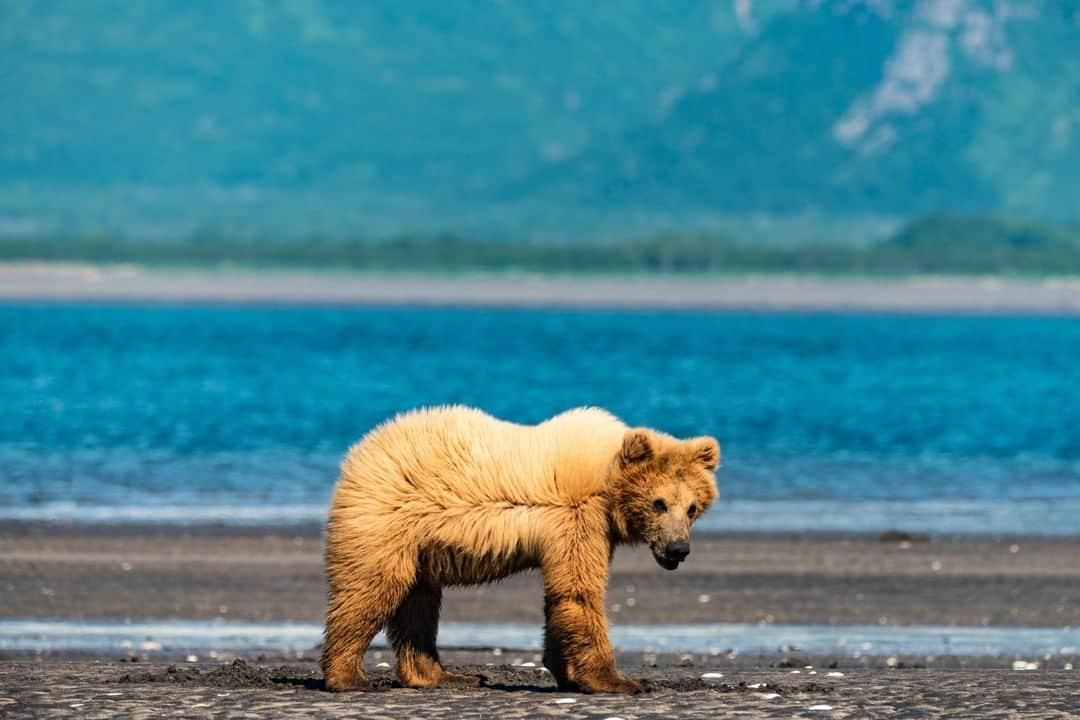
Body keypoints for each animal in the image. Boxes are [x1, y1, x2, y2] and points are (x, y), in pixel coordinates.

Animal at [321, 405, 725, 690]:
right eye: (659, 503)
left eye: (692, 508)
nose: (678, 549)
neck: (606, 484)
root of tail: (361, 450)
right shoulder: (578, 517)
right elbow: (579, 591)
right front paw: (619, 681)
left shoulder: (588, 530)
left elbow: (561, 597)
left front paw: (567, 671)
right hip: (388, 523)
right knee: (371, 590)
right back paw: (348, 676)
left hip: (420, 547)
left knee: (419, 604)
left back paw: (442, 675)